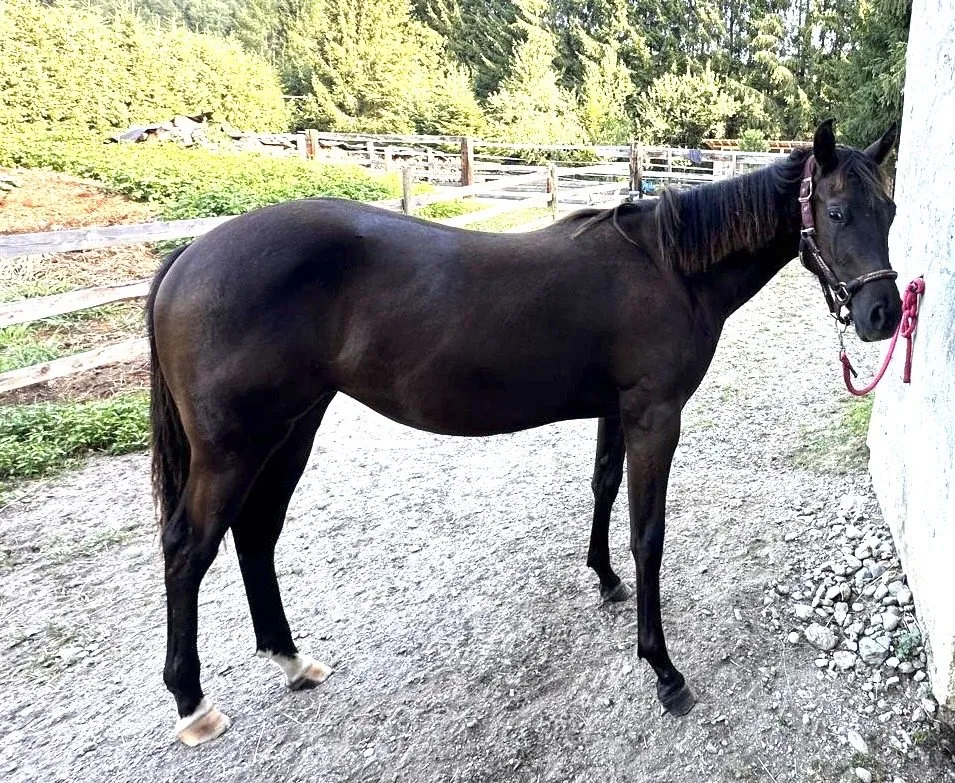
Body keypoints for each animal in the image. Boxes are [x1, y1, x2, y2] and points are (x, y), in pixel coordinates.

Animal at [147, 120, 901, 745]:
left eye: (890, 212)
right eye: (836, 212)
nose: (882, 314)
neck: (668, 268)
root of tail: (189, 255)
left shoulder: (616, 410)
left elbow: (602, 487)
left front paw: (603, 578)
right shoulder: (655, 416)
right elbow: (648, 533)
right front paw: (662, 669)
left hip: (292, 428)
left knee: (256, 535)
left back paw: (291, 659)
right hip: (233, 449)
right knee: (189, 549)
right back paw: (193, 703)